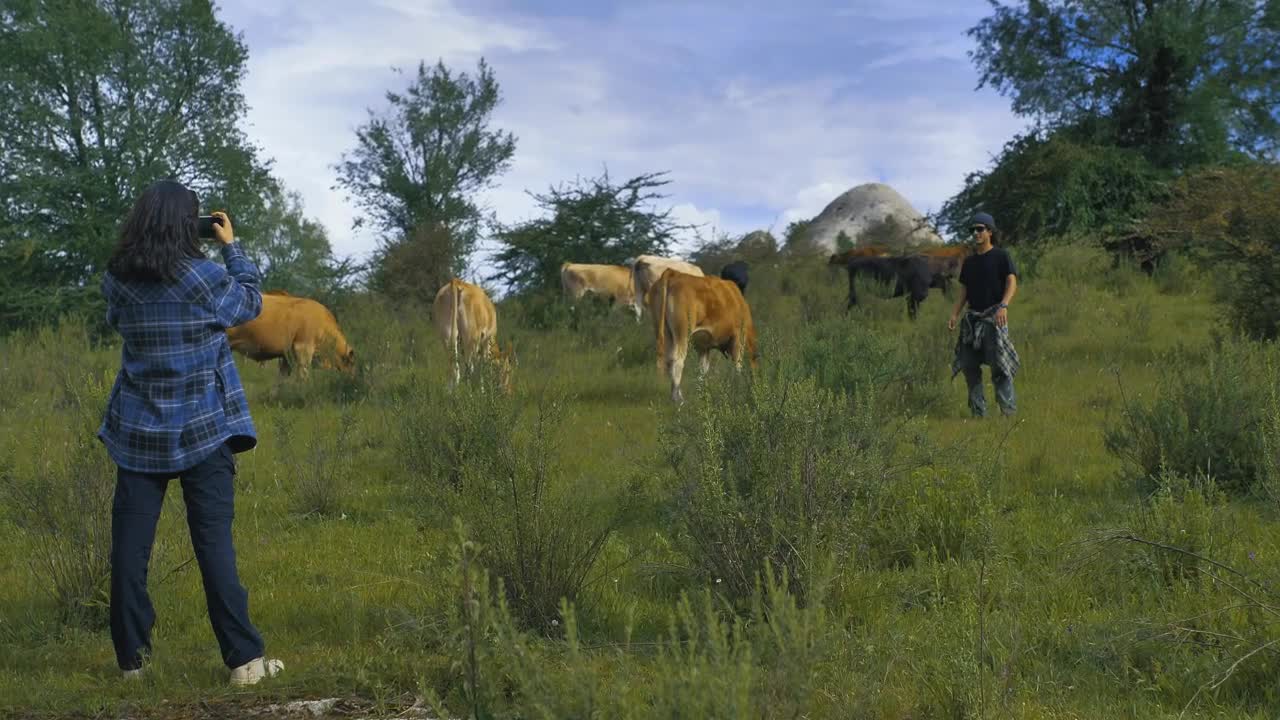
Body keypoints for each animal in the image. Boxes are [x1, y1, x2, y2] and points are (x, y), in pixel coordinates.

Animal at [226, 291, 356, 378]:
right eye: (351, 364)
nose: (352, 379)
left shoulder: (287, 356)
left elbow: (281, 380)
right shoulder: (303, 348)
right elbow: (303, 376)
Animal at [647, 270, 759, 404]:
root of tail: (674, 273)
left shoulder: (703, 347)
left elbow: (702, 369)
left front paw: (702, 393)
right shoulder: (738, 338)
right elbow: (737, 365)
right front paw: (738, 388)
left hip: (664, 331)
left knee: (669, 360)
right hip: (682, 334)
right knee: (677, 361)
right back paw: (678, 399)